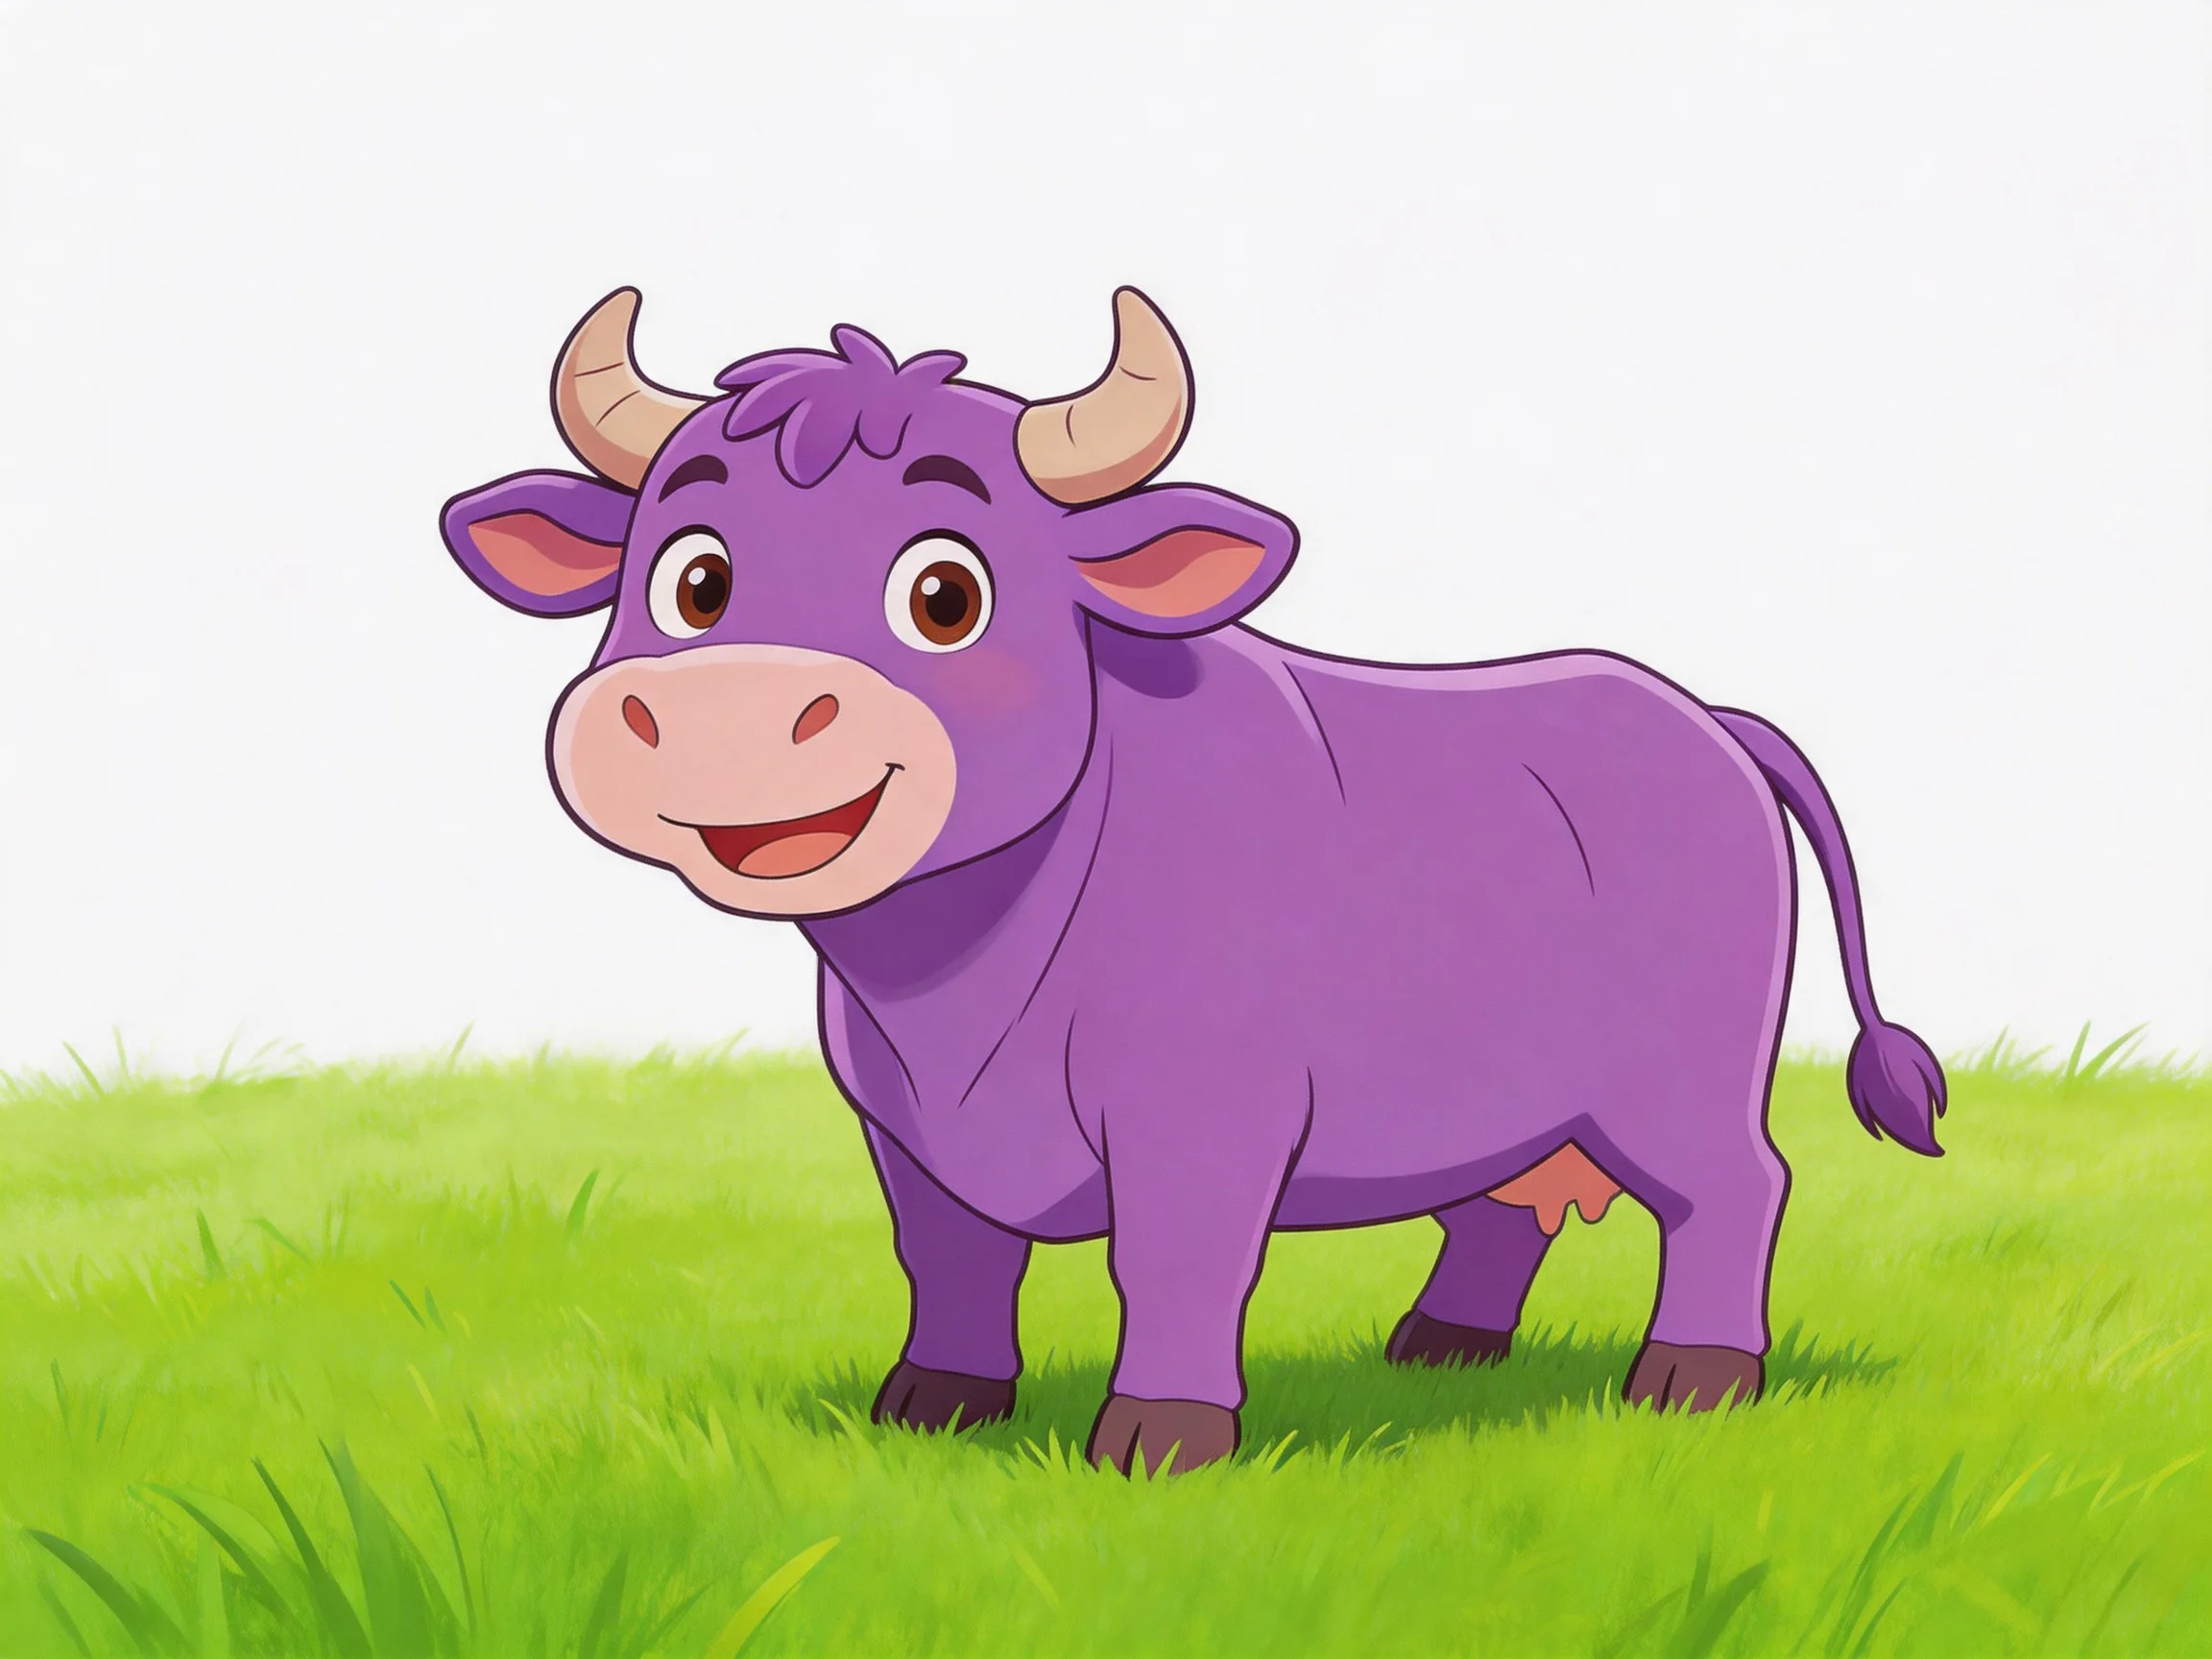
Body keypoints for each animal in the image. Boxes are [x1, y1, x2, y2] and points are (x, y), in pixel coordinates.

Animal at [441, 287, 1947, 1475]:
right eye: (693, 580)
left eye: (945, 594)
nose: (733, 711)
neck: (957, 981)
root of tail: (1703, 717)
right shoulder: (902, 1134)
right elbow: (952, 1259)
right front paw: (934, 1403)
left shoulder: (1206, 1123)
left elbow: (1175, 1259)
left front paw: (1160, 1439)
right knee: (1503, 1205)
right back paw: (1442, 1343)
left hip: (1679, 1082)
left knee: (1735, 1190)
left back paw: (1693, 1378)